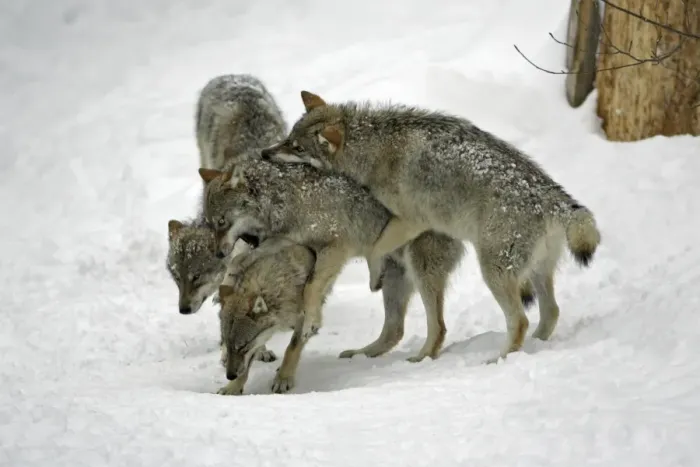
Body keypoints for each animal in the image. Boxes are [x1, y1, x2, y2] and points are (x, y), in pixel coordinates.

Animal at [216, 240, 317, 395]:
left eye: (242, 346)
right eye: (229, 343)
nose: (229, 376)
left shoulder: (303, 321)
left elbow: (292, 348)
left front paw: (283, 379)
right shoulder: (255, 340)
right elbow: (245, 367)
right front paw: (232, 388)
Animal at [261, 91, 602, 362]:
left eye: (297, 148)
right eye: (288, 139)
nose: (264, 153)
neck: (372, 148)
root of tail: (551, 196)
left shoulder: (412, 220)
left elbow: (376, 248)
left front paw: (373, 275)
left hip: (472, 272)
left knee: (505, 322)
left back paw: (486, 359)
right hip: (532, 273)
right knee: (550, 312)